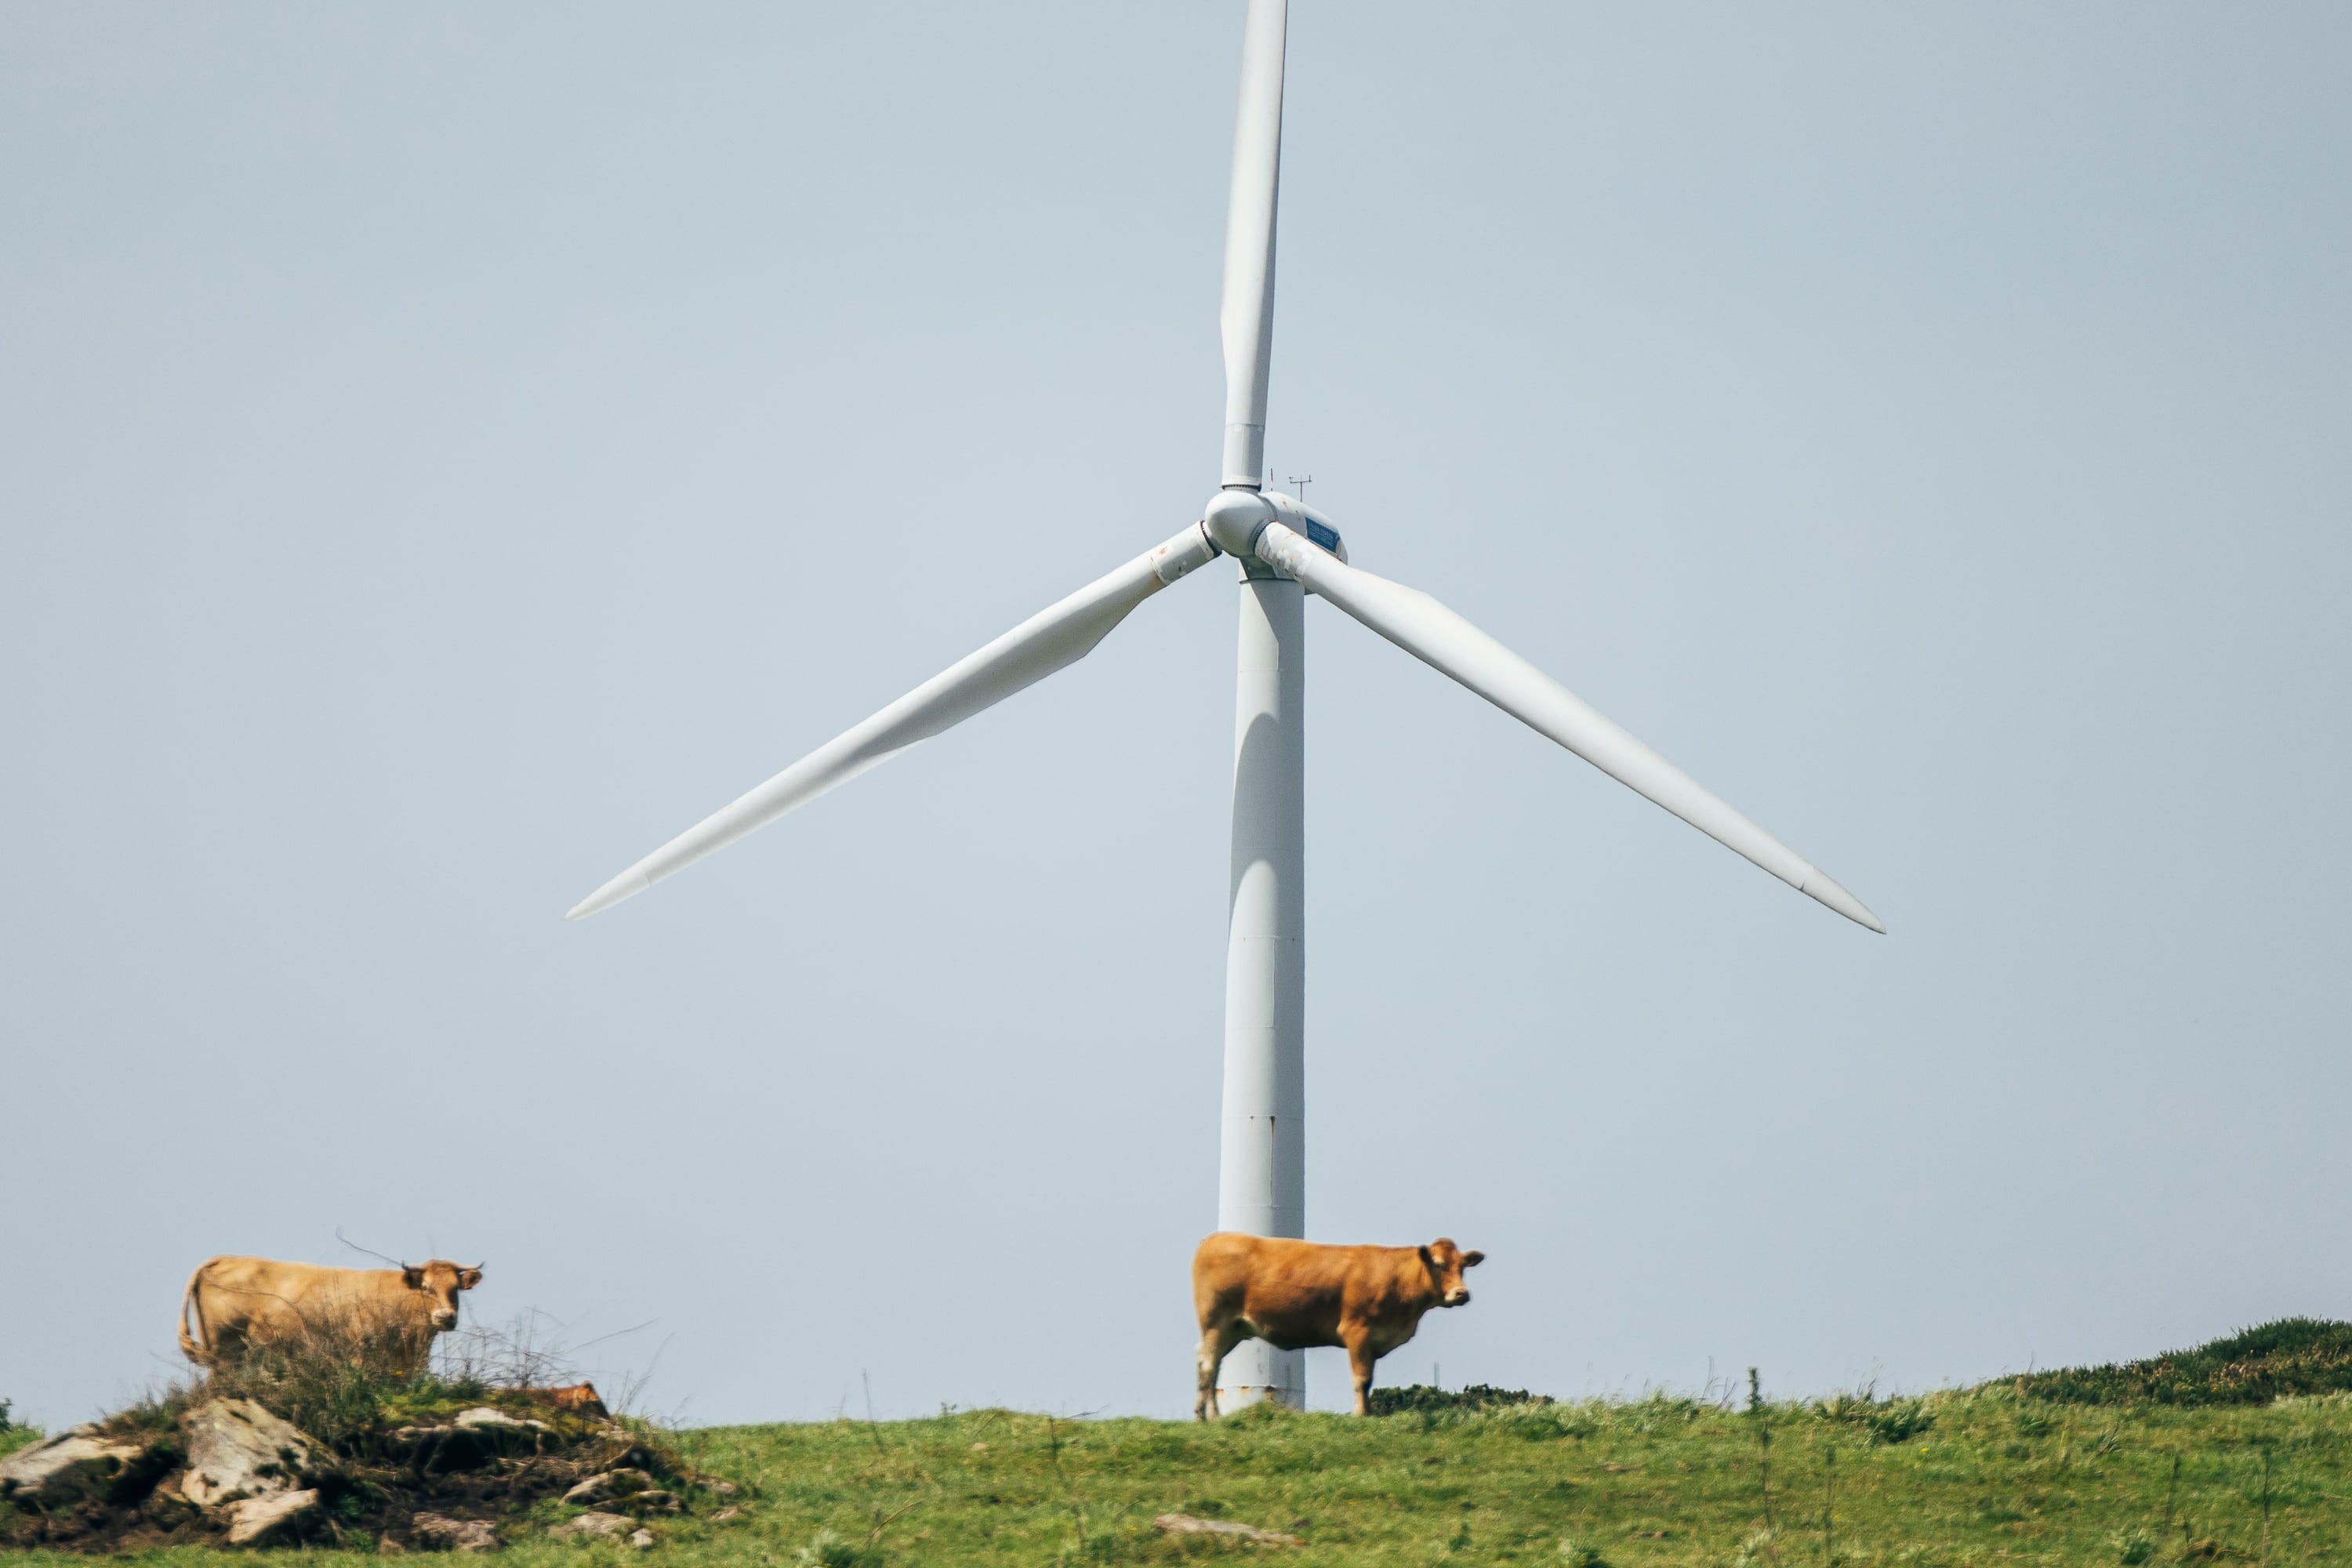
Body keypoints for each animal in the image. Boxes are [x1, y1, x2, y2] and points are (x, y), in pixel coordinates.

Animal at [180, 1260, 487, 1363]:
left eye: (456, 1289)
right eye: (426, 1287)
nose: (445, 1317)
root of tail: (223, 1259)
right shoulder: (361, 1349)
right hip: (223, 1347)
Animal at [1195, 1241, 1486, 1420]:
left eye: (1462, 1266)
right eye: (1438, 1264)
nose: (1461, 1293)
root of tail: (1215, 1240)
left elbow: (1369, 1379)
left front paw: (1368, 1412)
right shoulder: (1357, 1331)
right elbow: (1362, 1379)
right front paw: (1360, 1414)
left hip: (1232, 1329)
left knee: (1207, 1363)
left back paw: (1201, 1415)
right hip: (1216, 1323)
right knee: (1209, 1365)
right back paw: (1214, 1416)